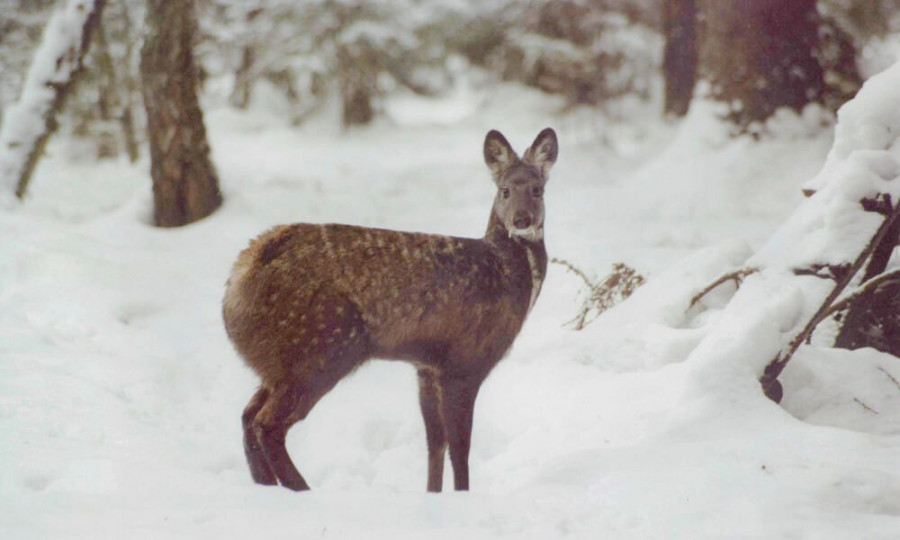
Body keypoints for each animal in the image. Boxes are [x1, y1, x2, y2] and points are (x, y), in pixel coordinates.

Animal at [223, 128, 558, 493]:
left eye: (538, 190)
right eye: (505, 190)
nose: (522, 220)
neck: (504, 272)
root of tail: (238, 280)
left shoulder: (427, 367)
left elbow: (435, 443)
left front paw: (433, 495)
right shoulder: (465, 360)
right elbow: (460, 447)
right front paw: (462, 496)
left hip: (278, 361)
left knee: (247, 416)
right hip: (320, 346)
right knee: (267, 424)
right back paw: (303, 490)